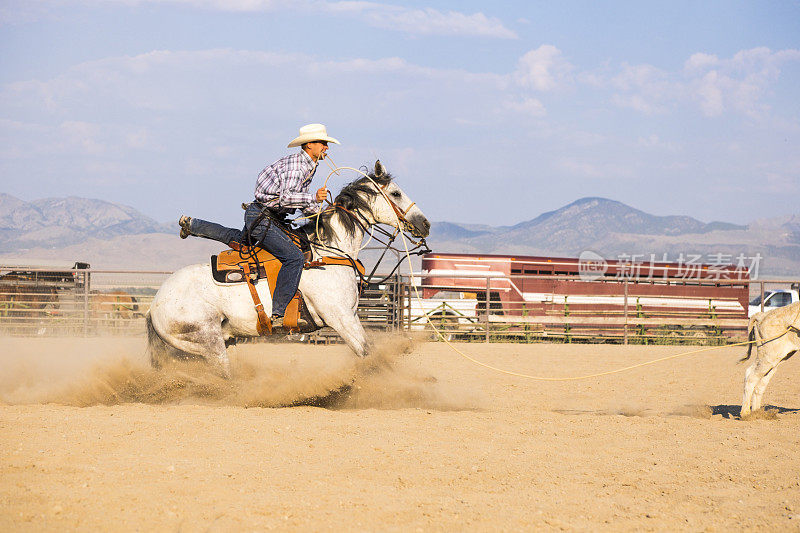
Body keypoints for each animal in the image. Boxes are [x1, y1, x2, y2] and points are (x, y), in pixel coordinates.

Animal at [146, 162, 428, 378]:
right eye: (395, 193)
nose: (424, 223)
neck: (329, 253)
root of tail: (154, 305)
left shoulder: (350, 316)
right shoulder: (339, 317)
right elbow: (368, 353)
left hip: (197, 346)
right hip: (206, 340)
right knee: (223, 375)